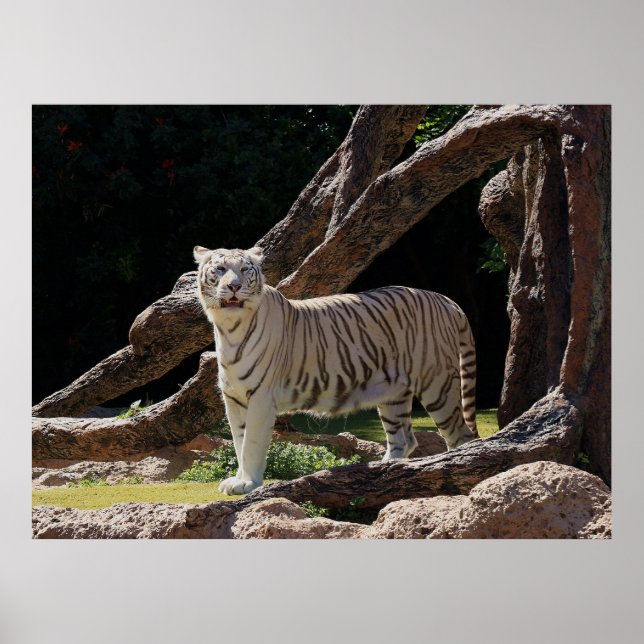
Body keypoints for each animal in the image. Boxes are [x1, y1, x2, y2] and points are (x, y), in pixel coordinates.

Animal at [194, 245, 478, 495]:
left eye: (244, 269)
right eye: (220, 269)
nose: (234, 286)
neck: (230, 328)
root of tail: (446, 300)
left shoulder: (261, 397)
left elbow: (251, 443)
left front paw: (249, 484)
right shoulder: (234, 398)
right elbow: (239, 441)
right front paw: (238, 480)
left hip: (437, 385)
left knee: (460, 438)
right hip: (393, 393)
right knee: (404, 438)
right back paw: (384, 472)